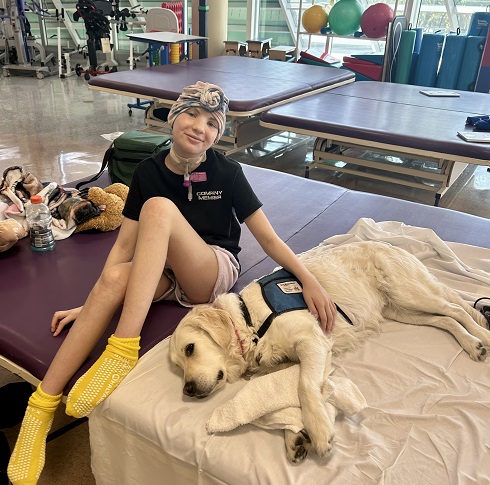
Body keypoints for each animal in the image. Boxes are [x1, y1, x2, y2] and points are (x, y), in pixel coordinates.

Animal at [169, 241, 490, 463]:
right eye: (177, 367)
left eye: (190, 348)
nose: (187, 390)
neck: (250, 322)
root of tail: (391, 244)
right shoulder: (291, 360)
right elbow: (291, 396)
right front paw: (294, 438)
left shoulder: (311, 340)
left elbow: (304, 388)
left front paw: (318, 430)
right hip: (402, 310)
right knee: (445, 319)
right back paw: (471, 343)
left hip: (408, 292)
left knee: (457, 309)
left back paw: (482, 336)